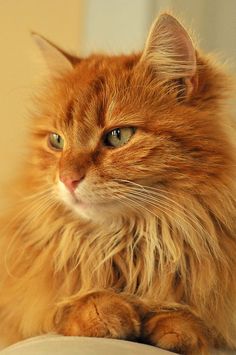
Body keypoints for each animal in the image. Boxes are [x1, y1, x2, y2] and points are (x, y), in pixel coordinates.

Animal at [0, 12, 236, 354]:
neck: (128, 244)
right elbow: (69, 306)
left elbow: (190, 318)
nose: (67, 179)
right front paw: (106, 312)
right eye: (57, 141)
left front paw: (175, 327)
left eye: (118, 136)